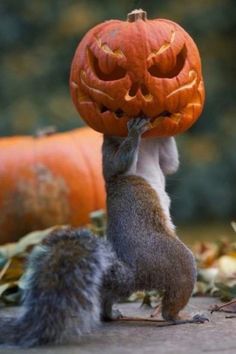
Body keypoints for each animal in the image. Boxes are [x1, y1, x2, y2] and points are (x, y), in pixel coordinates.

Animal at [0, 117, 206, 348]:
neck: (147, 144)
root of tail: (133, 272)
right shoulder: (109, 155)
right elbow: (118, 165)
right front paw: (134, 131)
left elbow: (170, 164)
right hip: (175, 261)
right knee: (171, 306)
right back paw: (183, 317)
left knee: (108, 298)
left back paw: (111, 314)